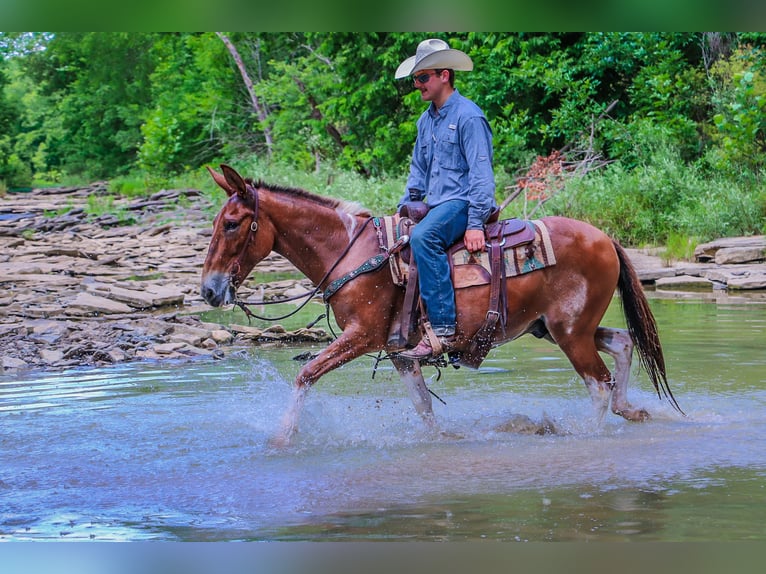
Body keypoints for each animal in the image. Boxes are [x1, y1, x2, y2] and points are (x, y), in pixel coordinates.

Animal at [201, 164, 680, 448]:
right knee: (622, 344)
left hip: (570, 332)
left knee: (598, 383)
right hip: (556, 327)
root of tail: (605, 238)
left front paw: (282, 438)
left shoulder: (362, 336)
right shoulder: (398, 350)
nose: (208, 290)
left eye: (232, 224)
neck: (354, 253)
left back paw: (588, 432)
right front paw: (441, 440)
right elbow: (422, 406)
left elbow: (306, 374)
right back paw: (630, 409)